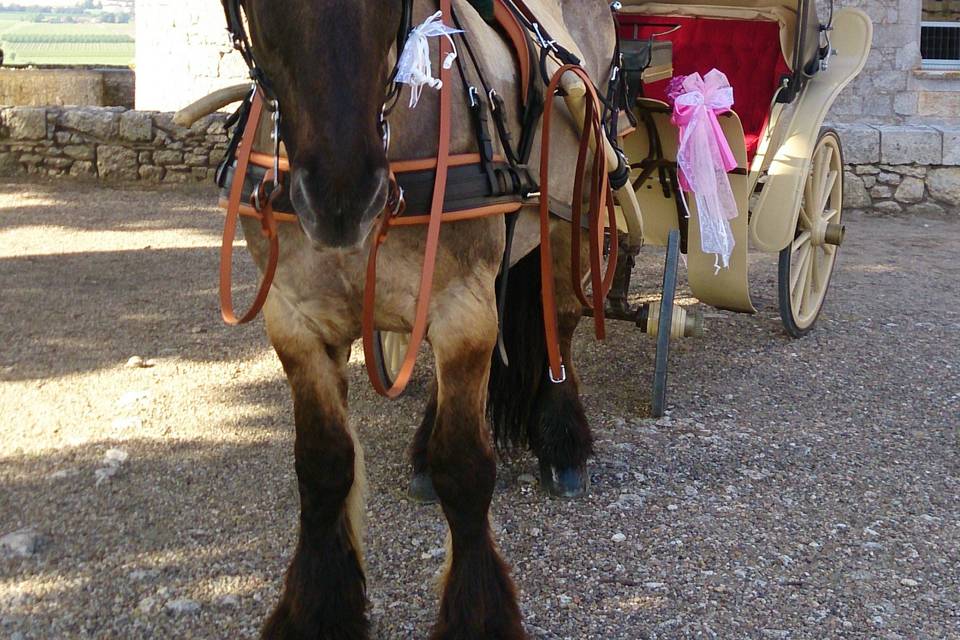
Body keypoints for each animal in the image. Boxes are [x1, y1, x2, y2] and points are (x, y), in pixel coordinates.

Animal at [235, 0, 620, 636]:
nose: (342, 197)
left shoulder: (463, 307)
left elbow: (464, 469)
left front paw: (479, 615)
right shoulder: (295, 322)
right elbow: (322, 467)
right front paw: (318, 609)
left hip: (572, 217)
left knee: (559, 322)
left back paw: (563, 443)